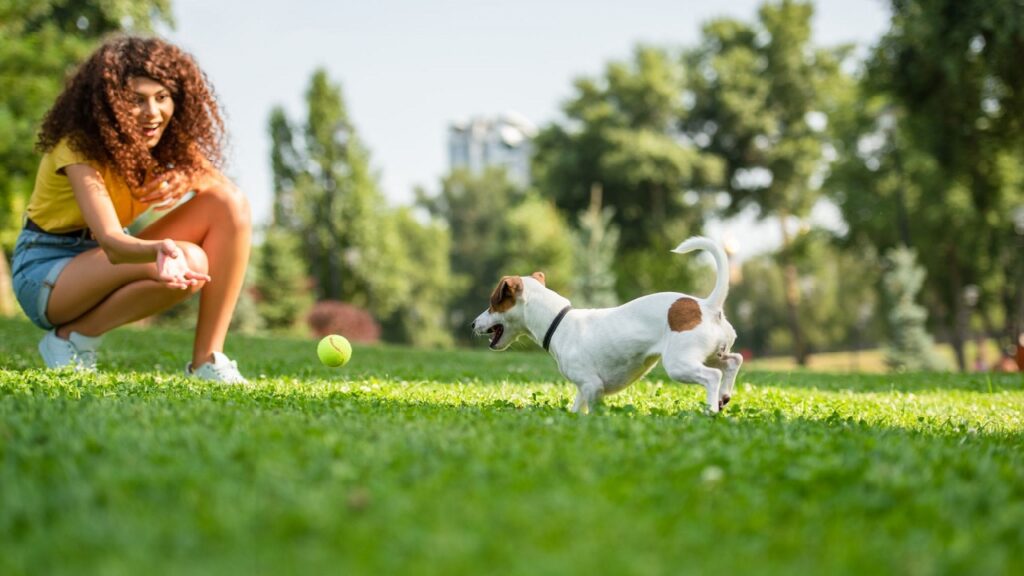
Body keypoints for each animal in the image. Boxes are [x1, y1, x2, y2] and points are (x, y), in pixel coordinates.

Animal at [468, 235, 741, 409]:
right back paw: (724, 397)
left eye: (493, 304)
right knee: (733, 361)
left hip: (679, 363)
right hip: (710, 353)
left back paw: (710, 410)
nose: (472, 324)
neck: (559, 322)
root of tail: (707, 306)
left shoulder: (591, 386)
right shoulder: (583, 390)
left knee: (713, 376)